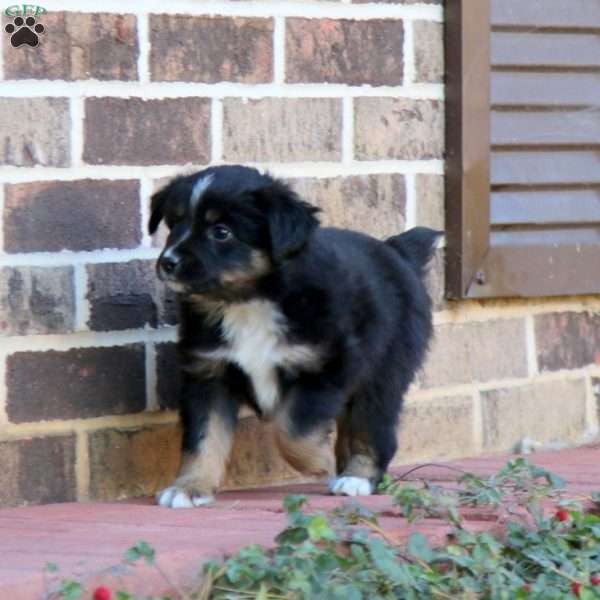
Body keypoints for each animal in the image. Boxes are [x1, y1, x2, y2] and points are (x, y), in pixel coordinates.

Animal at [150, 163, 440, 506]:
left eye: (221, 232)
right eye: (174, 224)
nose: (168, 262)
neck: (248, 301)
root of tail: (397, 251)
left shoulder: (324, 365)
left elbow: (292, 430)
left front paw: (317, 463)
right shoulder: (209, 374)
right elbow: (203, 439)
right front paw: (189, 487)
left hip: (384, 371)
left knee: (372, 429)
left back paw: (355, 478)